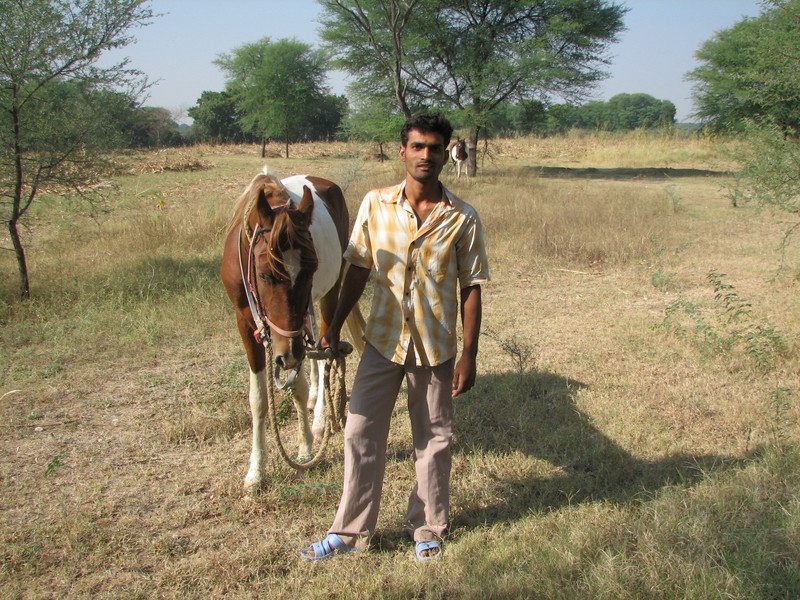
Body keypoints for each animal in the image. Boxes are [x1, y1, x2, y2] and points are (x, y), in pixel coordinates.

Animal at [222, 169, 366, 488]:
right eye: (265, 274)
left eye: (310, 270)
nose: (285, 355)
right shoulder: (245, 322)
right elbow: (258, 399)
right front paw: (256, 471)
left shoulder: (293, 330)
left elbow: (297, 385)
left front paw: (306, 446)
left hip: (329, 295)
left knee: (324, 355)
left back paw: (322, 419)